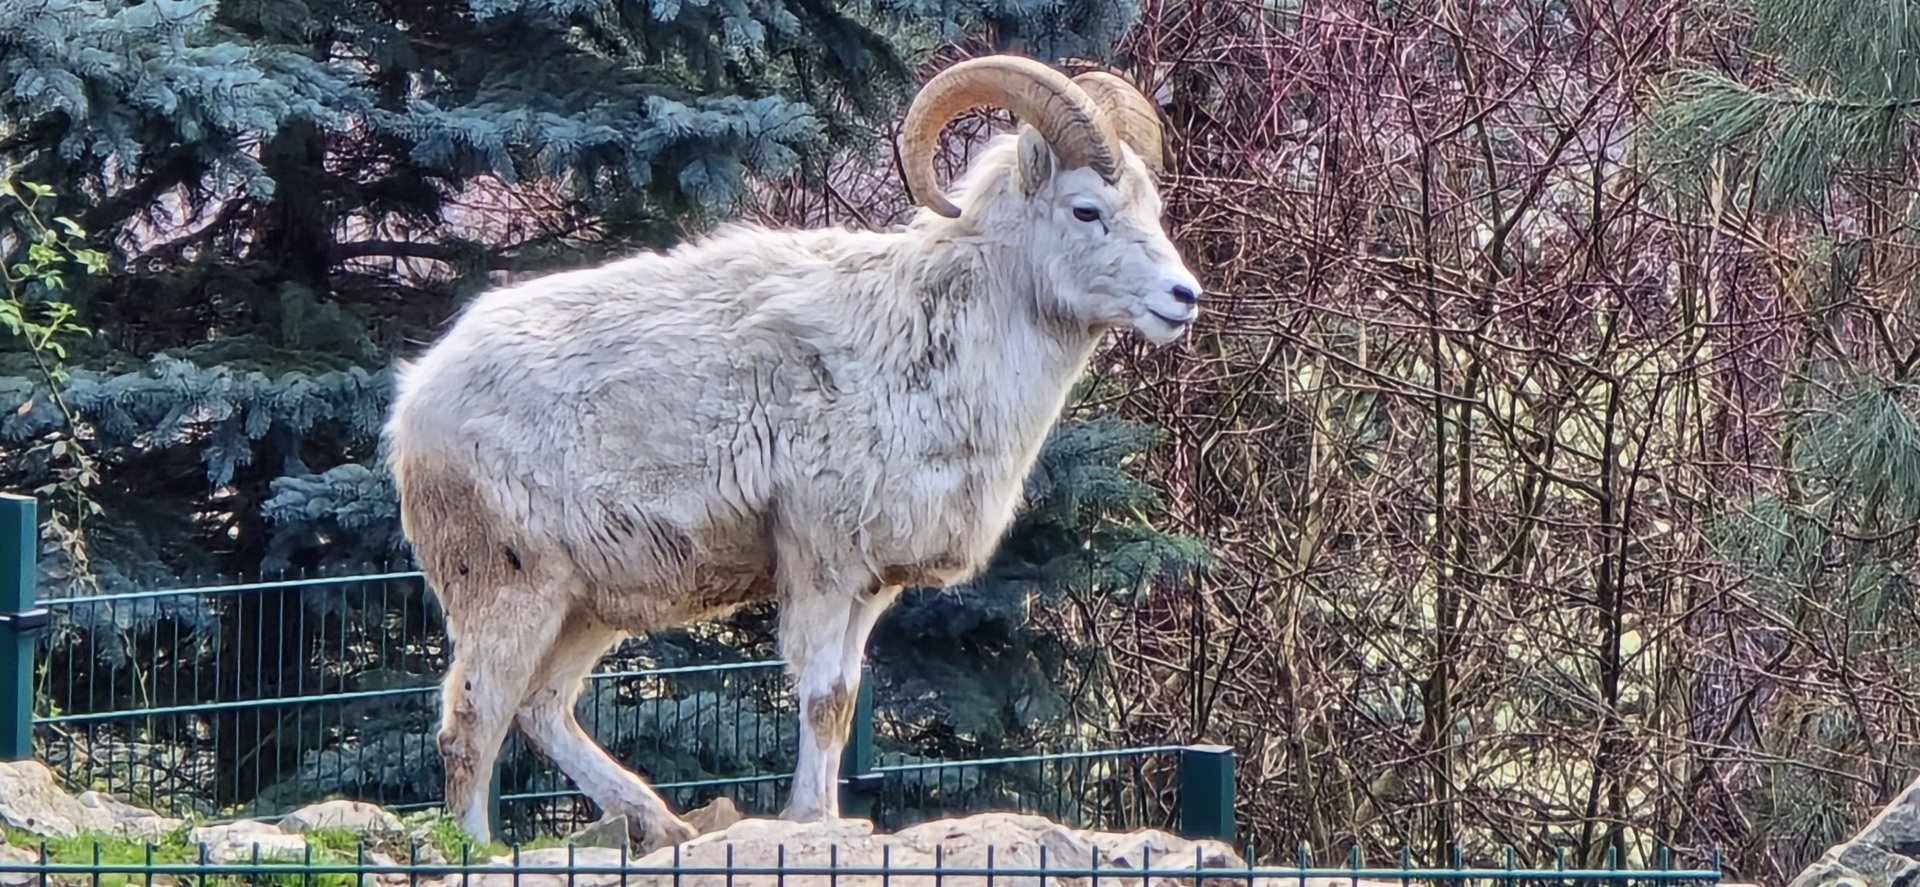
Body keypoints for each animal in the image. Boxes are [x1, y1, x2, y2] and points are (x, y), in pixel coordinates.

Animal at [381, 53, 1205, 853]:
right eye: (1087, 210)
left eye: (1152, 209)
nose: (1183, 297)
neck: (928, 347)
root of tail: (418, 397)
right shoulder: (821, 564)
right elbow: (818, 697)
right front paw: (809, 821)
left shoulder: (869, 588)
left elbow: (840, 703)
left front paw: (824, 817)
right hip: (510, 590)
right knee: (473, 720)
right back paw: (478, 844)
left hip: (587, 606)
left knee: (541, 708)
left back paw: (662, 824)